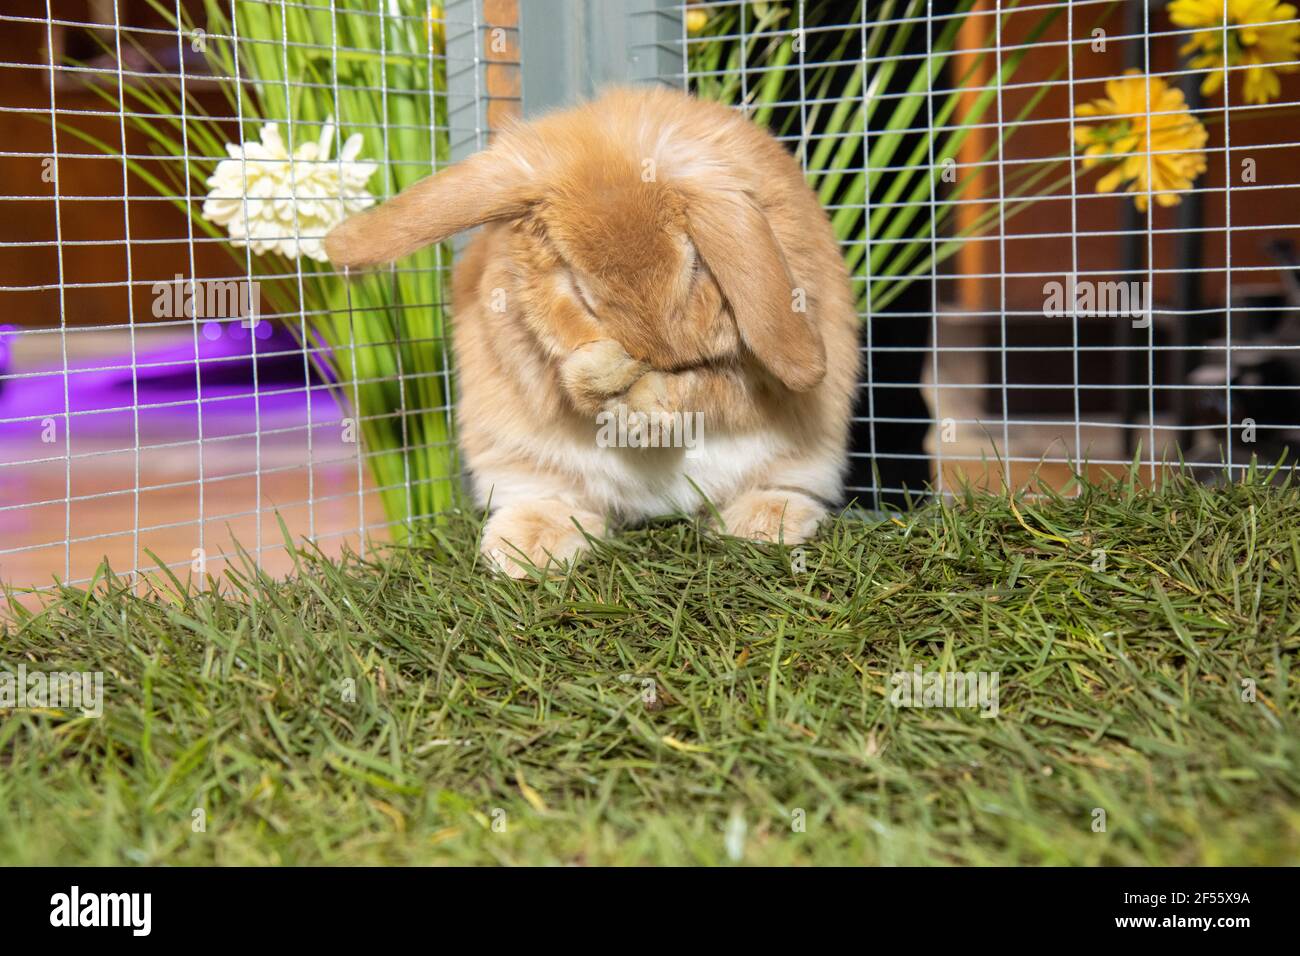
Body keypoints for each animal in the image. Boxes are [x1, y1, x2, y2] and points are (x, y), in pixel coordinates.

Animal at [324, 85, 861, 577]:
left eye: (694, 266)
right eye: (581, 288)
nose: (660, 352)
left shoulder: (748, 371)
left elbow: (707, 386)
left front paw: (648, 403)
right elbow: (573, 382)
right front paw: (610, 383)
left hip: (805, 457)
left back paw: (766, 522)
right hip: (515, 459)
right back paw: (525, 549)